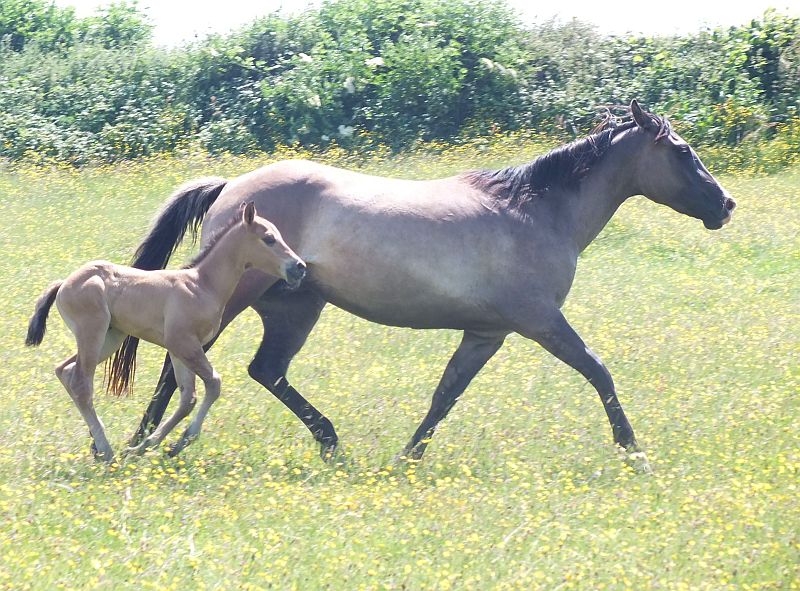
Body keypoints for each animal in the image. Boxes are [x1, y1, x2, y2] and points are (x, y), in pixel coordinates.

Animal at [26, 202, 307, 462]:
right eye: (269, 238)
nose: (299, 266)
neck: (202, 285)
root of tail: (65, 283)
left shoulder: (179, 349)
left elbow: (188, 398)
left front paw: (146, 446)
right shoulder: (184, 343)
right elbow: (213, 384)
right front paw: (179, 441)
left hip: (110, 338)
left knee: (65, 370)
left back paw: (99, 444)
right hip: (92, 333)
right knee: (81, 383)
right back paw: (106, 452)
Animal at [119, 100, 735, 469]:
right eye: (683, 152)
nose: (726, 205)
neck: (534, 213)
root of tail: (231, 189)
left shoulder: (486, 334)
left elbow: (446, 395)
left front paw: (406, 459)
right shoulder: (540, 322)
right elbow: (598, 370)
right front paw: (633, 453)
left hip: (296, 307)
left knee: (265, 370)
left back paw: (330, 442)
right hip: (236, 301)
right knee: (179, 368)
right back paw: (136, 445)